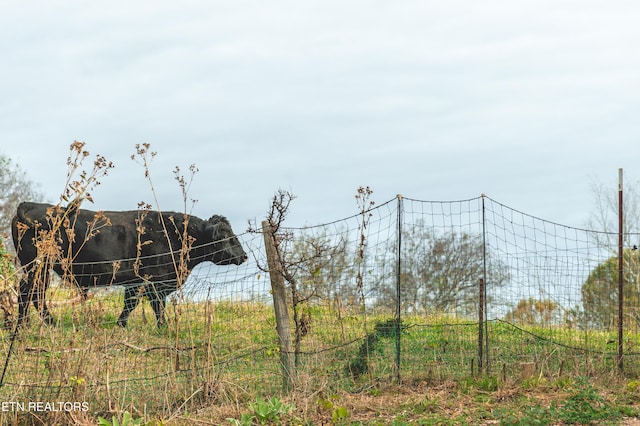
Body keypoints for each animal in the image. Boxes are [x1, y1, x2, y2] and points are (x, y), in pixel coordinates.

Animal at [13, 201, 248, 328]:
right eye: (227, 237)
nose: (244, 256)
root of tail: (31, 204)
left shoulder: (136, 282)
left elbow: (130, 303)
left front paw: (121, 324)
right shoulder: (154, 282)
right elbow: (155, 306)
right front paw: (163, 327)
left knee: (32, 294)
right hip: (38, 266)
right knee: (30, 293)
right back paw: (34, 325)